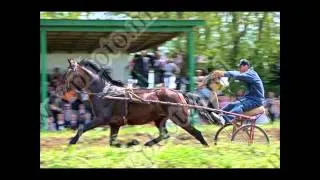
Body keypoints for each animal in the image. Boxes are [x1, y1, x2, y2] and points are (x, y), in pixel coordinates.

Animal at [63, 57, 216, 148]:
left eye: (68, 73)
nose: (63, 90)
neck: (104, 92)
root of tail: (178, 93)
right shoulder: (114, 124)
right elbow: (112, 142)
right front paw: (132, 142)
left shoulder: (101, 119)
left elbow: (82, 128)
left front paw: (71, 142)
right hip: (159, 119)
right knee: (164, 134)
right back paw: (148, 143)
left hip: (180, 119)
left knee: (196, 133)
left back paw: (207, 147)